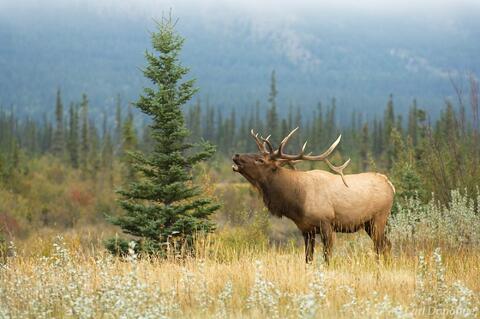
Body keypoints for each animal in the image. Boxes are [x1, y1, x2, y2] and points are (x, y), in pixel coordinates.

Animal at [232, 128, 394, 264]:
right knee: (387, 244)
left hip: (379, 218)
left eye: (260, 160)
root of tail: (390, 184)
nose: (236, 155)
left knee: (380, 245)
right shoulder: (306, 229)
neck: (297, 202)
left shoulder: (327, 224)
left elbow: (327, 257)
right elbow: (308, 258)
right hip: (368, 224)